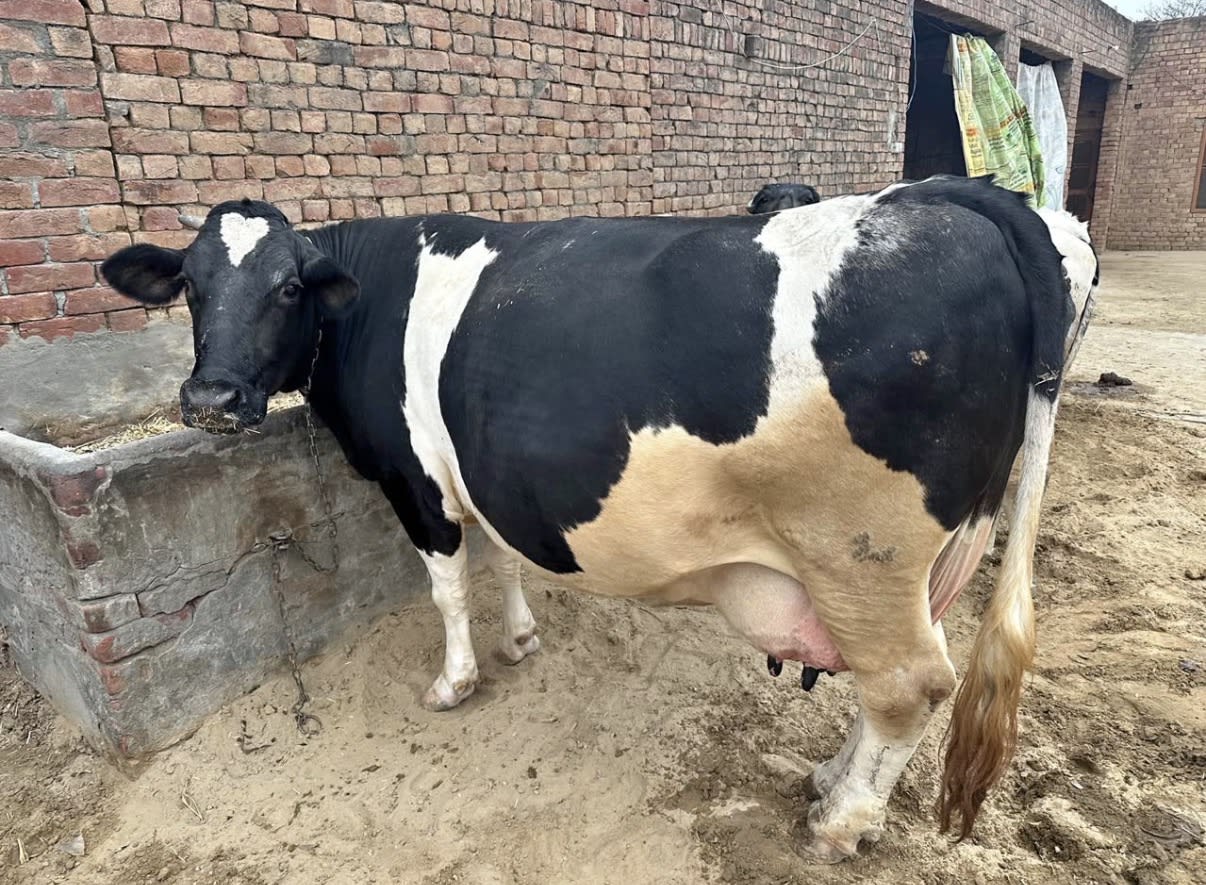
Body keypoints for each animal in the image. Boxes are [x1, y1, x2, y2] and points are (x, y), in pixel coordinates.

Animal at [101, 175, 1098, 863]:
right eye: (190, 286)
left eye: (286, 288)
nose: (211, 399)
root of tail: (946, 196)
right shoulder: (484, 473)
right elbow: (502, 559)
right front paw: (520, 639)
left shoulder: (417, 484)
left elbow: (447, 588)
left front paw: (456, 680)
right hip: (907, 562)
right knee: (894, 679)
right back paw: (829, 781)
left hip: (863, 550)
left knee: (908, 685)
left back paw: (839, 824)